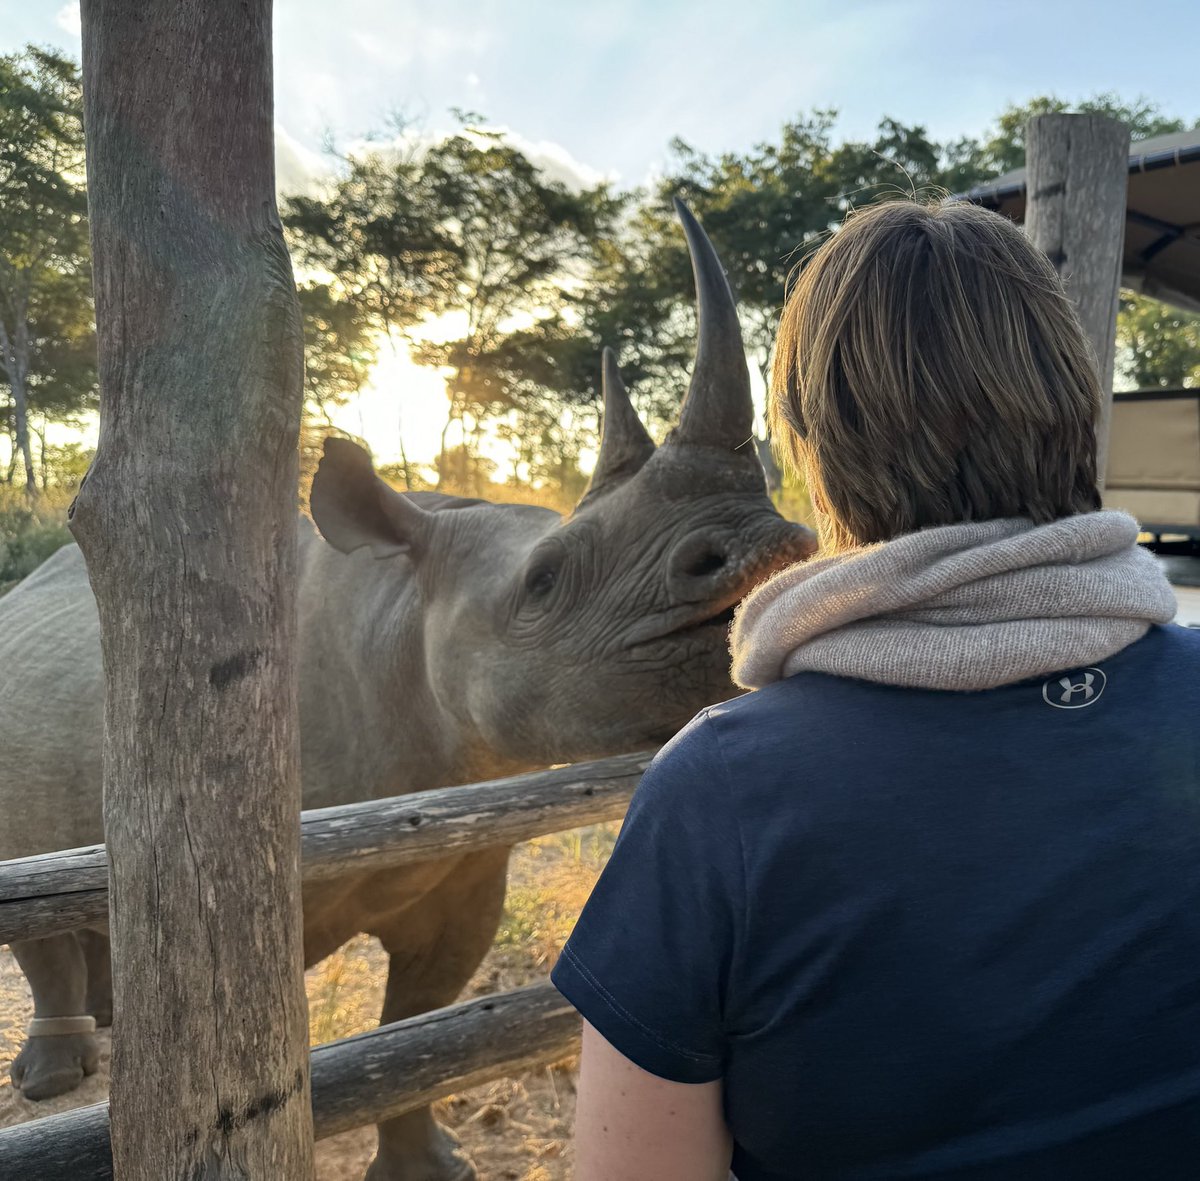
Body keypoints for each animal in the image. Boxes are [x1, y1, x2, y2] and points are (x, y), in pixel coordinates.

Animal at [0, 205, 816, 1181]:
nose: (768, 547)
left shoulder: (467, 864)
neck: (405, 606)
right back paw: (54, 1075)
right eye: (543, 582)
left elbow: (417, 1026)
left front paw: (429, 1165)